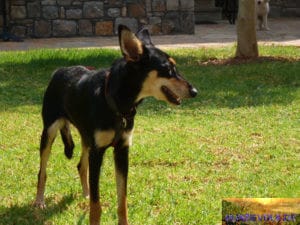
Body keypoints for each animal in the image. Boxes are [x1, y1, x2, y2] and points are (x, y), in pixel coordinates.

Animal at [33, 25, 197, 225]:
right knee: (42, 171)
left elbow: (122, 200)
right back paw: (40, 201)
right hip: (49, 132)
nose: (194, 91)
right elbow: (96, 205)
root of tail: (59, 71)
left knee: (81, 166)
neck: (117, 105)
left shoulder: (122, 150)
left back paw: (86, 194)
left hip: (86, 137)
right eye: (167, 69)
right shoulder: (98, 152)